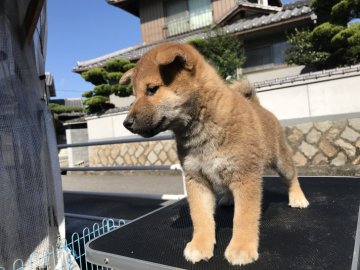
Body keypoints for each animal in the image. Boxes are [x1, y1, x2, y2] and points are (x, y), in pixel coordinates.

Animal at [121, 42, 310, 266]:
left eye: (152, 90)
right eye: (134, 96)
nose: (126, 123)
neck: (202, 125)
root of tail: (259, 107)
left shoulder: (245, 176)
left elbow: (244, 218)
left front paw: (241, 248)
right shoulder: (196, 178)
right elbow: (201, 217)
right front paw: (200, 245)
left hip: (280, 160)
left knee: (292, 177)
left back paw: (298, 198)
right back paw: (228, 199)